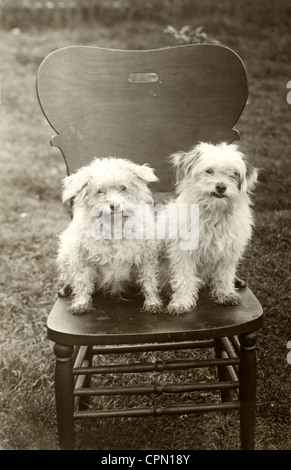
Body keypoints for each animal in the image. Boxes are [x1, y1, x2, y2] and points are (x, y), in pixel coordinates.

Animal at [56, 156, 163, 314]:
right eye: (100, 191)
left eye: (123, 188)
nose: (115, 205)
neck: (114, 226)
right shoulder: (81, 258)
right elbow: (82, 282)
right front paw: (81, 302)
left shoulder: (146, 257)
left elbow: (149, 281)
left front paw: (153, 302)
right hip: (65, 255)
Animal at [165, 141, 258, 314]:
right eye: (209, 171)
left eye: (234, 174)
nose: (221, 186)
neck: (214, 213)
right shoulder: (184, 253)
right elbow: (184, 278)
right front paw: (182, 302)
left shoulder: (228, 253)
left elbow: (224, 275)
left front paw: (225, 294)